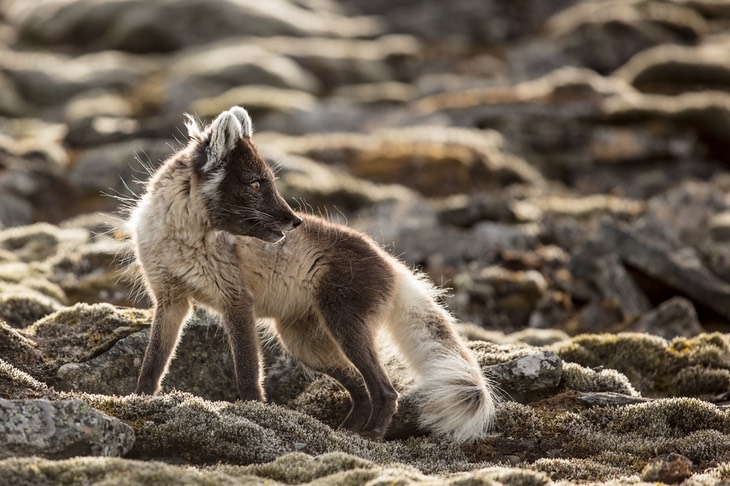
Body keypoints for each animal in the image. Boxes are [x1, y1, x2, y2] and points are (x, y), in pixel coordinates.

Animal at [131, 108, 494, 442]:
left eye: (269, 181)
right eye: (254, 182)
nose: (296, 221)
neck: (184, 238)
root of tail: (392, 263)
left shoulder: (236, 300)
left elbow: (247, 373)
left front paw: (254, 413)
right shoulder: (170, 299)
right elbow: (153, 363)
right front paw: (140, 401)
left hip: (343, 326)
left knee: (385, 390)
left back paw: (370, 435)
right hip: (306, 345)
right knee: (361, 388)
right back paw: (345, 432)